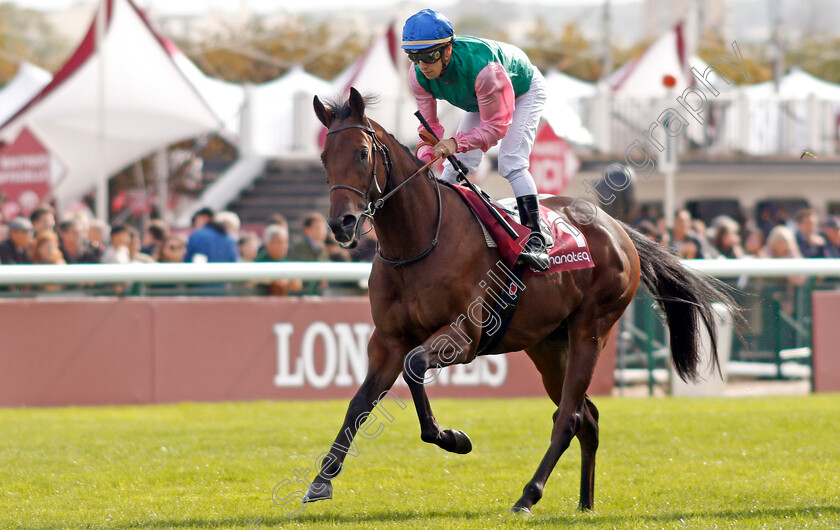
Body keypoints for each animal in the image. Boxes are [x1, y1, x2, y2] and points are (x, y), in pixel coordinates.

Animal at [306, 87, 740, 512]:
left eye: (362, 153)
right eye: (325, 157)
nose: (341, 223)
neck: (417, 242)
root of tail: (617, 228)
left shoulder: (464, 336)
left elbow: (414, 368)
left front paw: (453, 438)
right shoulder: (387, 340)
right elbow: (360, 403)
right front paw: (320, 481)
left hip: (591, 329)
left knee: (569, 417)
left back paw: (528, 495)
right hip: (548, 345)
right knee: (588, 416)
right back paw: (585, 503)